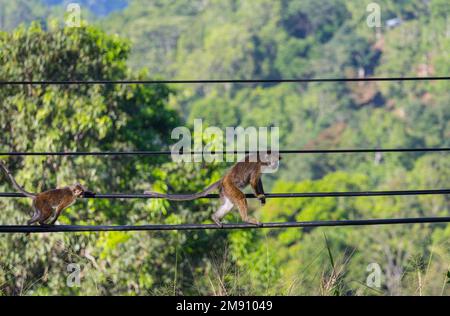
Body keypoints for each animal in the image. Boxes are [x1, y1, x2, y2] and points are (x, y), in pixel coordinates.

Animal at [144, 151, 282, 227]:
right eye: (275, 160)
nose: (276, 165)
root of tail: (224, 178)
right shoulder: (258, 166)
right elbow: (254, 181)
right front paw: (259, 195)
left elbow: (258, 181)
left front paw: (262, 196)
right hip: (230, 186)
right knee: (240, 197)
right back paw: (246, 219)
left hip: (226, 190)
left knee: (229, 204)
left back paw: (215, 217)